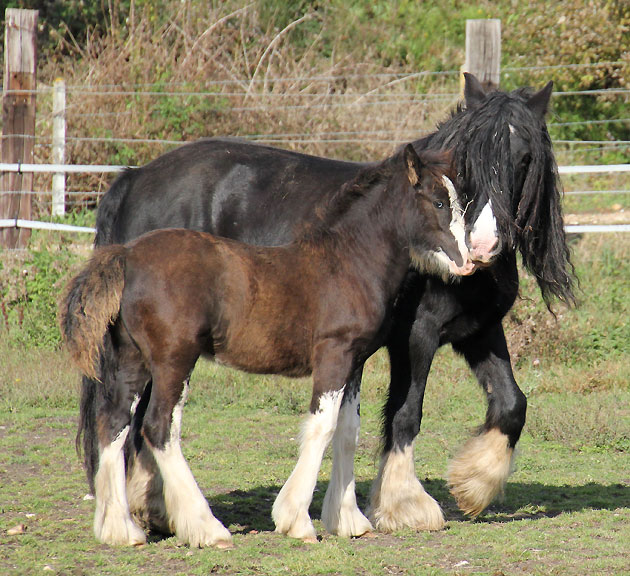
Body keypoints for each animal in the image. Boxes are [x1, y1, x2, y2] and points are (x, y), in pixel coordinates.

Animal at [76, 73, 576, 536]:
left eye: (524, 158)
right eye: (470, 160)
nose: (481, 248)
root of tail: (135, 177)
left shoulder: (478, 330)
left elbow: (511, 404)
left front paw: (472, 486)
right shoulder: (416, 336)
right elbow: (403, 414)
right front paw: (403, 504)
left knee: (129, 419)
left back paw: (149, 515)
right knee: (147, 421)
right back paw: (172, 517)